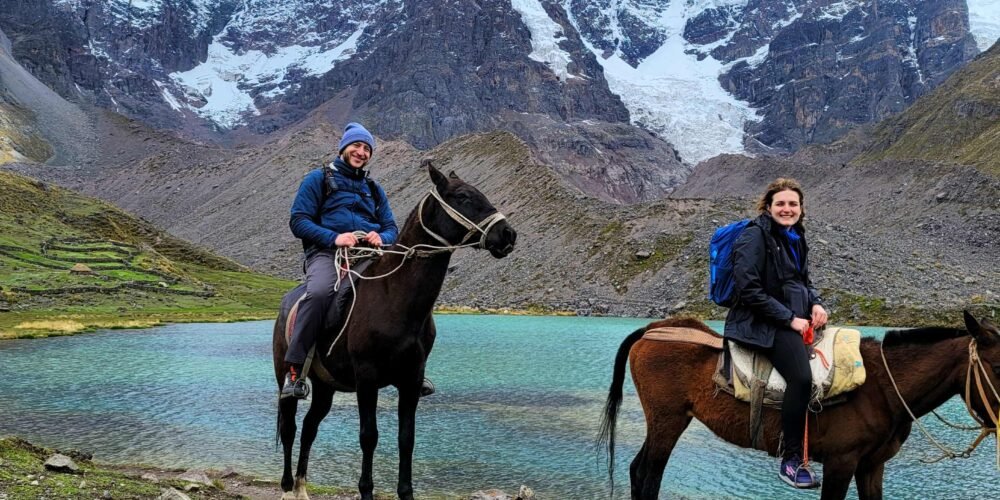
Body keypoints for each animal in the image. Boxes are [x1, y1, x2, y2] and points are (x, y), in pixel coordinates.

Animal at [278, 162, 520, 498]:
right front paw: (366, 490)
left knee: (310, 428)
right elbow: (369, 436)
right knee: (290, 428)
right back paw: (288, 487)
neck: (395, 298)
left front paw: (406, 492)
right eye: (462, 196)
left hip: (325, 387)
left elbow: (407, 437)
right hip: (286, 378)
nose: (507, 234)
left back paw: (302, 487)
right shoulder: (367, 378)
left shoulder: (411, 379)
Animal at [596, 310, 996, 498]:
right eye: (997, 365)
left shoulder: (871, 466)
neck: (882, 386)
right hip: (668, 420)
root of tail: (653, 330)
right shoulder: (840, 463)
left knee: (638, 471)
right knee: (647, 476)